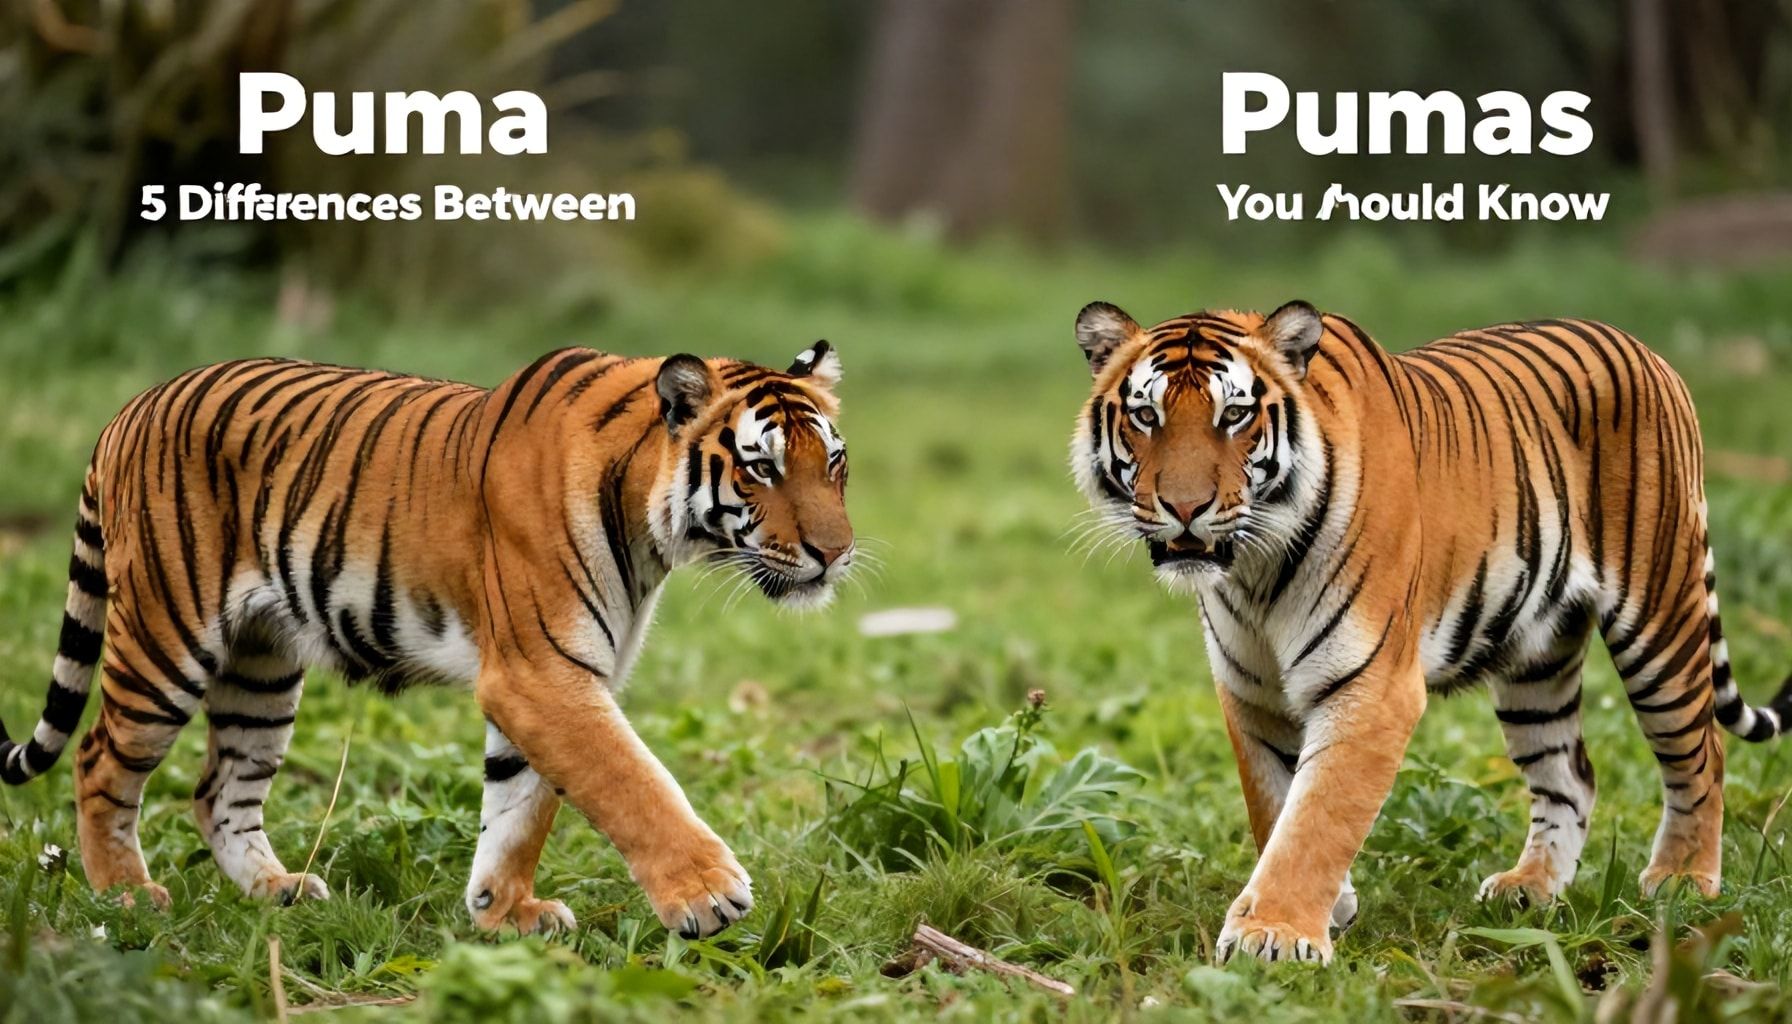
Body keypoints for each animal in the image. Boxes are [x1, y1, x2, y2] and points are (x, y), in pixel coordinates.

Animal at [0, 341, 853, 939]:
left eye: (835, 464)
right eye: (762, 469)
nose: (837, 554)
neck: (649, 525)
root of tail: (129, 408)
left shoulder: (551, 679)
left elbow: (520, 806)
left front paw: (502, 913)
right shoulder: (540, 674)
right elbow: (631, 783)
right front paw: (707, 894)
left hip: (261, 669)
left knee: (219, 790)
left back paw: (277, 890)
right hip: (164, 639)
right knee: (99, 758)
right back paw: (125, 895)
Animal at [1069, 299, 1792, 964]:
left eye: (1235, 416)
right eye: (1146, 416)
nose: (1184, 508)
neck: (1254, 569)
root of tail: (1644, 347)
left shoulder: (1371, 687)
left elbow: (1318, 816)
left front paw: (1272, 934)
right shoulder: (1253, 693)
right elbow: (1276, 805)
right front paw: (1325, 909)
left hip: (1660, 618)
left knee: (1702, 752)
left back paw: (1682, 881)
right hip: (1537, 661)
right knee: (1571, 773)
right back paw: (1531, 888)